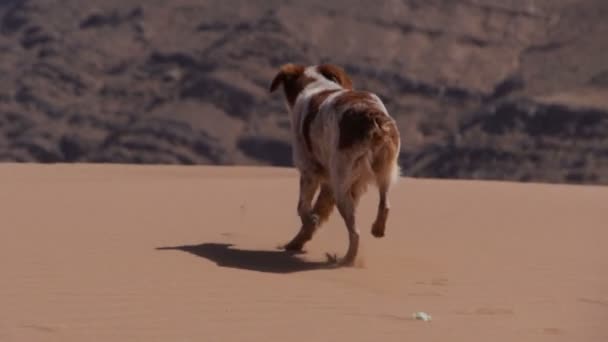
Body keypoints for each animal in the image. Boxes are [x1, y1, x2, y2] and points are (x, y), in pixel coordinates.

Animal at [268, 63, 402, 268]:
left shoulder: (309, 171)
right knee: (385, 204)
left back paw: (346, 260)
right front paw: (298, 241)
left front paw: (309, 224)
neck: (316, 84)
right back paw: (377, 229)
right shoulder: (329, 183)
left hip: (342, 185)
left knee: (355, 232)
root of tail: (372, 118)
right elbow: (317, 209)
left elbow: (302, 207)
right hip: (384, 171)